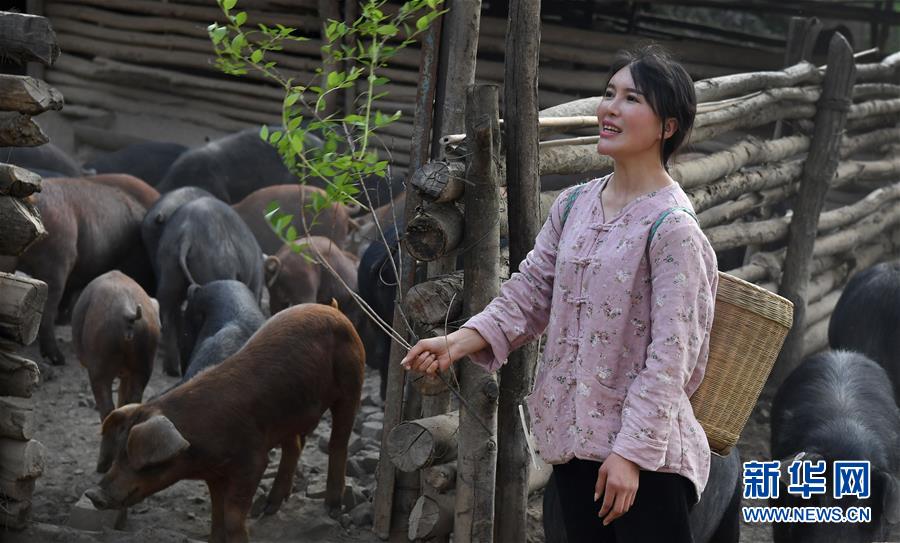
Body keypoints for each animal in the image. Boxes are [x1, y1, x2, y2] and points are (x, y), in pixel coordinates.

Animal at [73, 272, 161, 424]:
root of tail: (128, 313)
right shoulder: (128, 373)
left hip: (99, 367)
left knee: (107, 407)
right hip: (144, 365)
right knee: (133, 400)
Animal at [84, 306, 364, 543]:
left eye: (140, 461)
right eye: (119, 452)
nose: (94, 495)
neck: (197, 451)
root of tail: (334, 311)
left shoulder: (253, 460)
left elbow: (231, 515)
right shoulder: (215, 473)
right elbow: (216, 514)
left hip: (352, 383)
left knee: (338, 442)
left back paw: (332, 507)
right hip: (290, 412)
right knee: (293, 446)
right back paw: (268, 508)